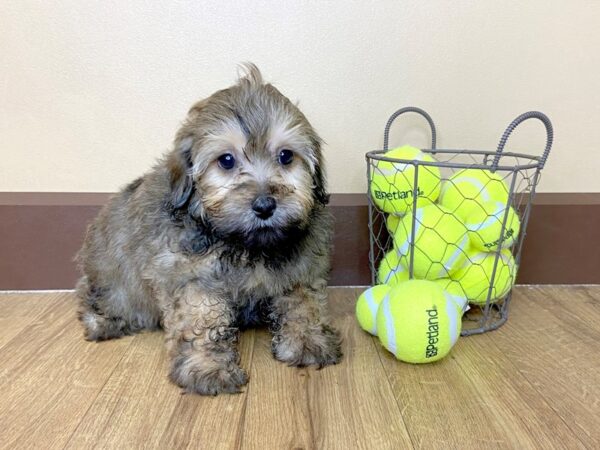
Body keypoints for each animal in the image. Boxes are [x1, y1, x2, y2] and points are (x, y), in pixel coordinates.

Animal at [76, 65, 342, 396]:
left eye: (286, 156)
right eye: (226, 160)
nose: (265, 205)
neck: (245, 245)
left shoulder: (301, 266)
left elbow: (302, 302)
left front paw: (307, 339)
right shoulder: (188, 273)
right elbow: (201, 318)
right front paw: (208, 367)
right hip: (112, 281)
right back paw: (103, 322)